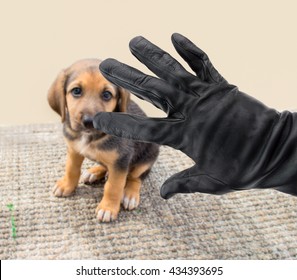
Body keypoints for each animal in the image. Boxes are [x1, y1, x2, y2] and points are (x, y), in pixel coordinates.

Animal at [48, 59, 160, 223]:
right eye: (76, 91)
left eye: (107, 94)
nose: (89, 122)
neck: (90, 136)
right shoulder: (74, 150)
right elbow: (71, 169)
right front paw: (67, 185)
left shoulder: (121, 160)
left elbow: (113, 186)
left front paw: (108, 208)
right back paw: (94, 172)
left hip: (148, 156)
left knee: (136, 177)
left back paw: (130, 194)